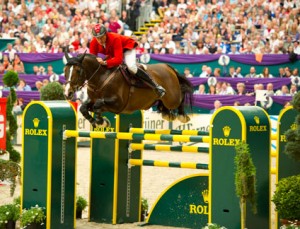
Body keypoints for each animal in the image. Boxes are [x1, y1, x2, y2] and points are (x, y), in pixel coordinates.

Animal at [64, 52, 193, 127]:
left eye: (78, 71)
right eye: (65, 70)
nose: (67, 93)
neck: (102, 77)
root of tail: (168, 67)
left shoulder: (118, 104)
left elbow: (98, 105)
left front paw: (101, 122)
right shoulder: (94, 100)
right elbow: (83, 108)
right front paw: (98, 122)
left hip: (172, 98)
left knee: (180, 96)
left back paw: (182, 115)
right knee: (163, 103)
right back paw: (166, 113)